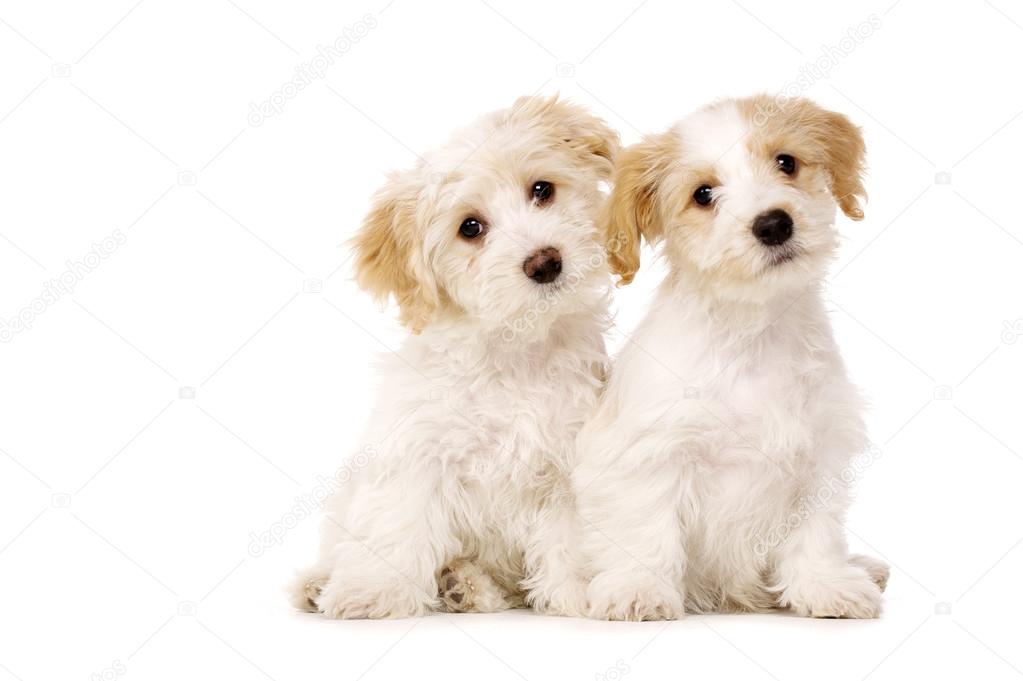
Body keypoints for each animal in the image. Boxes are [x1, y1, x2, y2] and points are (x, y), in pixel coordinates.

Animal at [292, 93, 617, 617]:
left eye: (541, 189)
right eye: (470, 228)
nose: (544, 261)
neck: (511, 353)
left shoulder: (567, 465)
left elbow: (572, 537)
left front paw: (583, 592)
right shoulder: (417, 454)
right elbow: (398, 525)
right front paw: (371, 590)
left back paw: (463, 584)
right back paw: (323, 584)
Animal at [568, 95, 887, 621]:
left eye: (786, 163)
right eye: (703, 194)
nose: (774, 224)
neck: (753, 336)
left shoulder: (819, 450)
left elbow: (816, 532)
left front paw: (825, 586)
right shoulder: (649, 451)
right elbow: (647, 526)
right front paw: (641, 589)